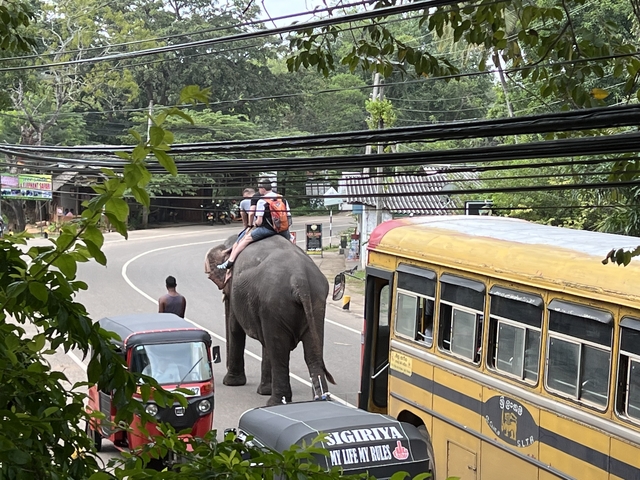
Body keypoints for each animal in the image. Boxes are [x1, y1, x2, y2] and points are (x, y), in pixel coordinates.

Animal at [204, 234, 335, 406]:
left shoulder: (235, 289)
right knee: (311, 354)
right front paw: (263, 390)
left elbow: (235, 329)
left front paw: (232, 383)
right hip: (315, 304)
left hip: (275, 301)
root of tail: (300, 280)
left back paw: (274, 402)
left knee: (278, 352)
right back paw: (320, 400)